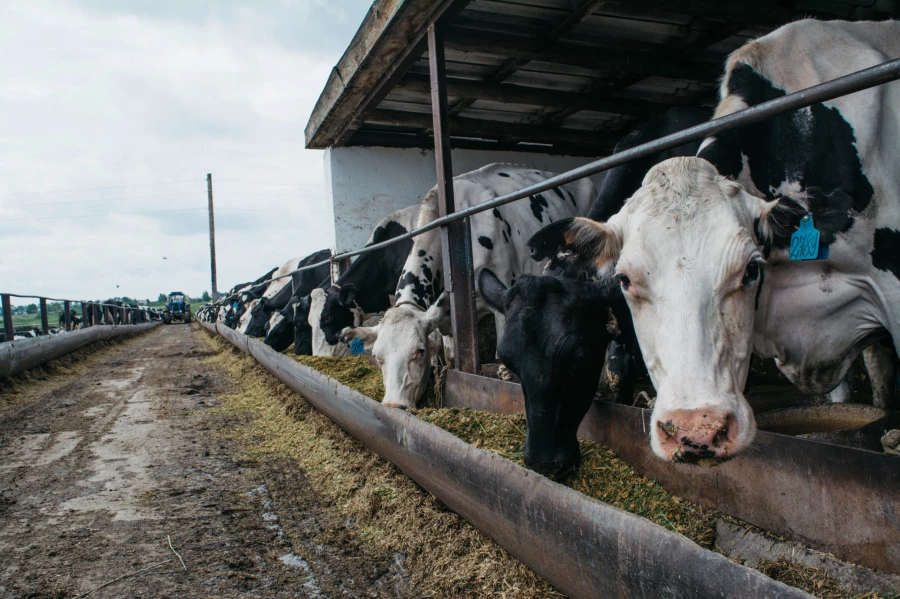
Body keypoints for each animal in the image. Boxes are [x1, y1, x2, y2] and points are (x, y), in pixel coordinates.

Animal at [342, 163, 596, 408]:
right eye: (377, 356)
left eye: (420, 351)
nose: (394, 405)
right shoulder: (445, 318)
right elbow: (452, 357)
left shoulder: (503, 294)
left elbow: (501, 361)